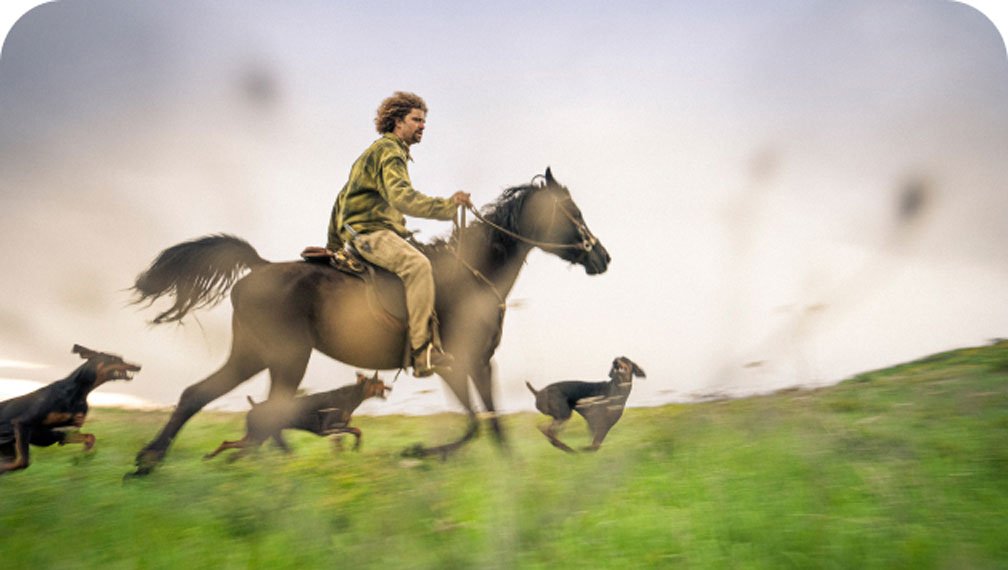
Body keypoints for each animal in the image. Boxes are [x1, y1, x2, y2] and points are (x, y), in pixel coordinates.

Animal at [0, 345, 140, 474]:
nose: (139, 366)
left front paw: (86, 454)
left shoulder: (64, 433)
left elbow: (90, 437)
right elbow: (23, 461)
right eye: (114, 359)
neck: (78, 392)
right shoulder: (23, 423)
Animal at [203, 371, 389, 460]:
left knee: (228, 444)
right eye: (379, 382)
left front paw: (348, 452)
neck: (349, 397)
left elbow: (346, 438)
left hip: (259, 436)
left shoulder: (336, 430)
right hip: (259, 437)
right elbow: (357, 430)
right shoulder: (325, 430)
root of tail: (254, 406)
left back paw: (212, 458)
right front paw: (355, 448)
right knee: (235, 451)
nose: (390, 388)